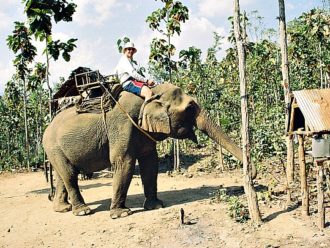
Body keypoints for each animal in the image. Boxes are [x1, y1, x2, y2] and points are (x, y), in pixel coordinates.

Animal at [43, 83, 245, 219]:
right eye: (189, 107)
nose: (247, 179)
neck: (152, 93)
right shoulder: (123, 124)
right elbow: (124, 161)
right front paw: (121, 214)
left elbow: (150, 161)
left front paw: (156, 206)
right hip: (53, 146)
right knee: (70, 175)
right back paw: (83, 211)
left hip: (56, 150)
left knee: (63, 175)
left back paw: (62, 209)